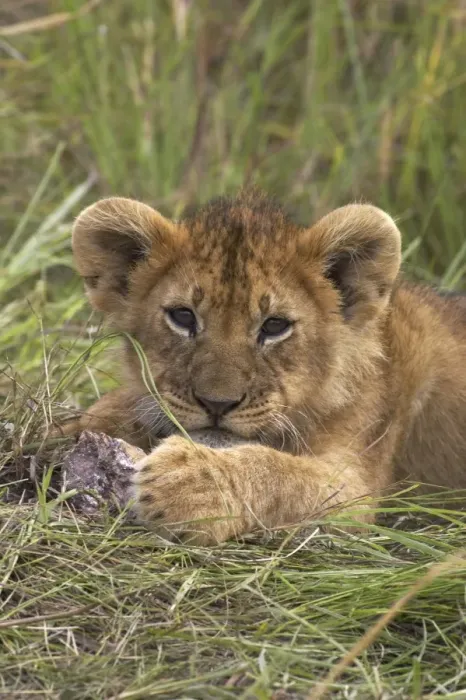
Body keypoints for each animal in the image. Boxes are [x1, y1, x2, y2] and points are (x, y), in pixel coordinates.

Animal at [58, 189, 466, 544]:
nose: (217, 404)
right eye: (182, 317)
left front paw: (192, 484)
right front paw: (65, 430)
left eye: (274, 326)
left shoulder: (354, 488)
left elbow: (283, 476)